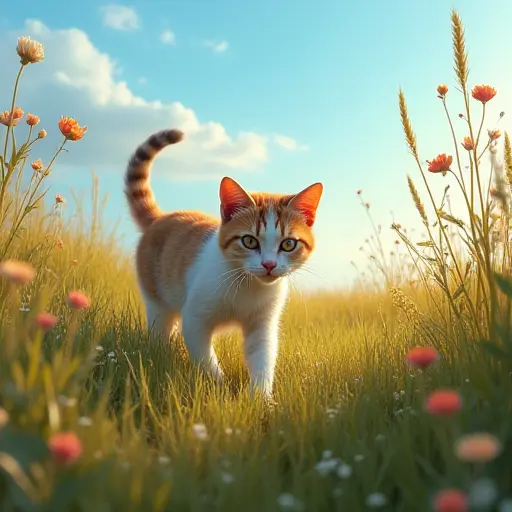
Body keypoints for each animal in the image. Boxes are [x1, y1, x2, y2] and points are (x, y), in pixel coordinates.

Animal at [124, 129, 322, 400]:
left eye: (288, 244)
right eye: (249, 241)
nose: (269, 264)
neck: (248, 286)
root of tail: (161, 217)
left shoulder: (263, 323)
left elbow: (263, 357)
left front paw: (261, 399)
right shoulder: (195, 317)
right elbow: (205, 357)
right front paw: (219, 388)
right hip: (157, 300)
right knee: (160, 326)